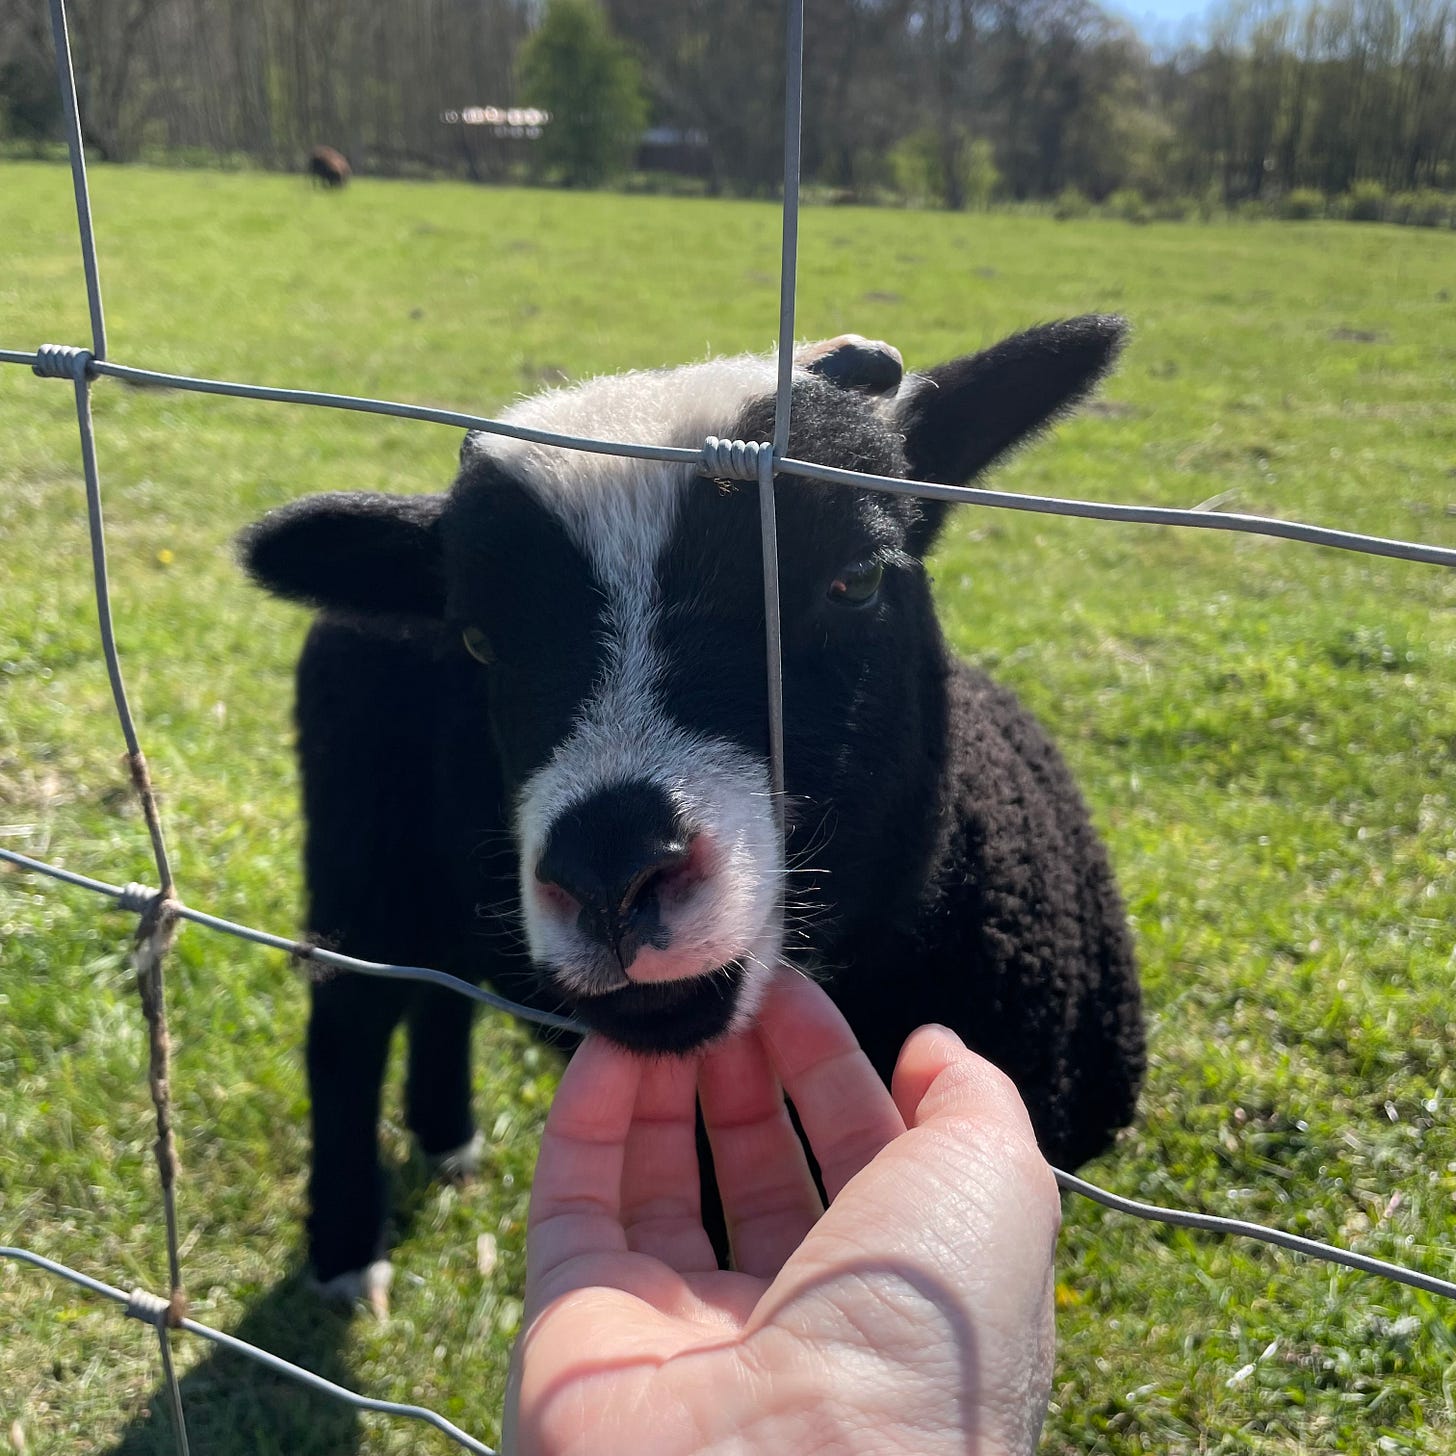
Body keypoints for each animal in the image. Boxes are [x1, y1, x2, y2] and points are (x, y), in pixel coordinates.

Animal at [241, 316, 1145, 1303]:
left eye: (859, 578)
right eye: (478, 639)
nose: (608, 870)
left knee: (438, 988)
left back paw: (448, 1139)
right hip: (358, 850)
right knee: (350, 1021)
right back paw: (346, 1252)